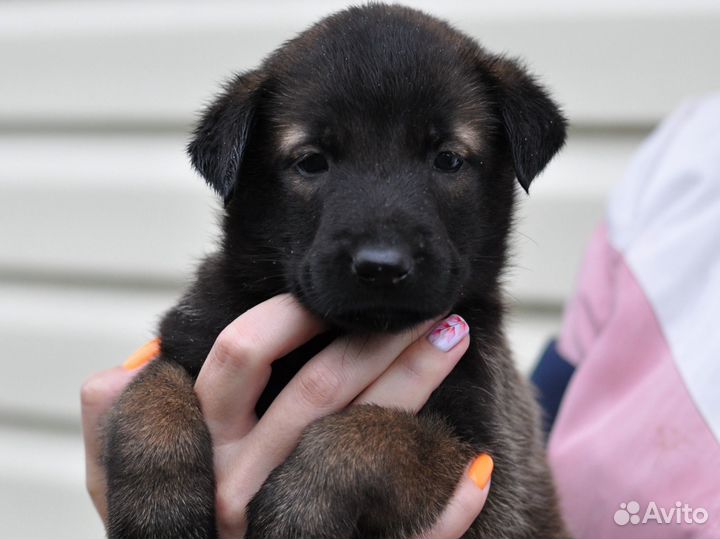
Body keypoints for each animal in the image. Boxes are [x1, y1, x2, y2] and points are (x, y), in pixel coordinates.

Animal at [105, 5, 568, 539]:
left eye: (448, 159)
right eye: (311, 161)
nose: (382, 266)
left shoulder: (487, 457)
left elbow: (373, 436)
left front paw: (297, 509)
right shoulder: (192, 337)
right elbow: (149, 393)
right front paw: (159, 508)